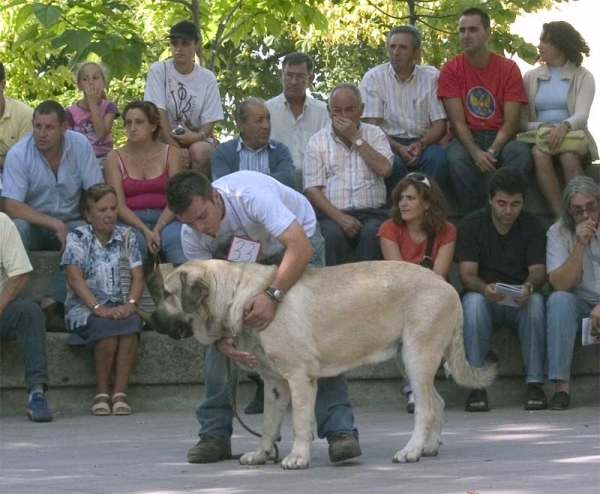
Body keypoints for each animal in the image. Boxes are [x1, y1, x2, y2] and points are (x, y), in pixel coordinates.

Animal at [150, 260, 496, 468]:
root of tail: (446, 284)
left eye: (166, 293)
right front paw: (262, 454)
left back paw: (411, 450)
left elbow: (300, 423)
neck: (237, 296)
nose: (150, 319)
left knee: (425, 408)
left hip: (417, 355)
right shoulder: (275, 385)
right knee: (437, 403)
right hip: (407, 358)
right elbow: (268, 425)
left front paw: (297, 457)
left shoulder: (299, 378)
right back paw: (429, 447)